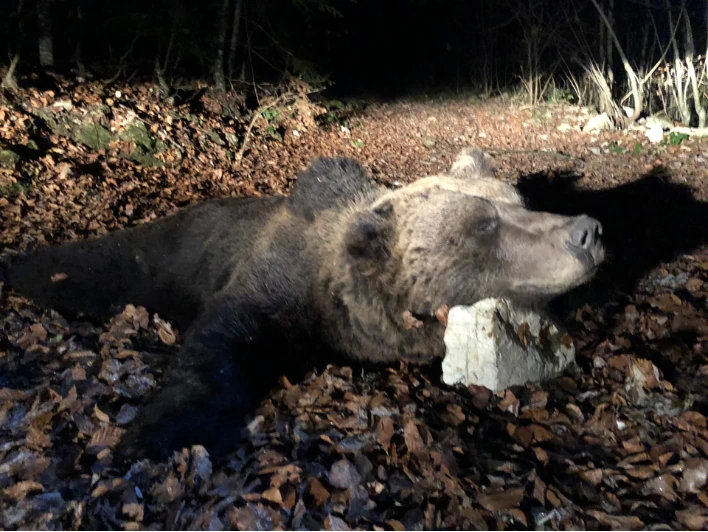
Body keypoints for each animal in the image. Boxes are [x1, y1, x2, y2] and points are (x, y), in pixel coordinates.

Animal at [3, 147, 605, 460]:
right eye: (483, 224)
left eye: (518, 201)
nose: (588, 232)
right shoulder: (272, 285)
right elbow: (218, 344)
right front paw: (153, 432)